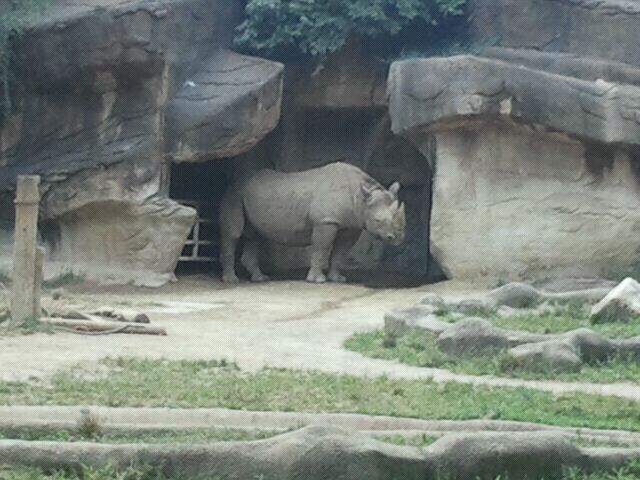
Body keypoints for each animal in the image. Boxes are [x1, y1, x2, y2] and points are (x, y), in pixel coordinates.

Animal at [219, 162, 406, 283]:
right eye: (378, 220)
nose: (397, 238)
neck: (360, 198)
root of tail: (233, 181)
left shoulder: (351, 225)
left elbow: (341, 251)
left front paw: (338, 279)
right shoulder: (325, 221)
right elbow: (321, 248)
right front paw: (317, 280)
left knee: (254, 235)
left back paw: (260, 279)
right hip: (234, 192)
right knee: (234, 233)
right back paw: (231, 281)